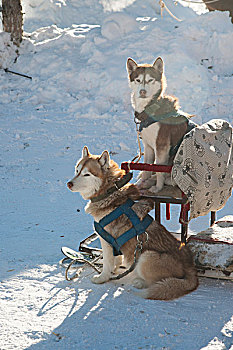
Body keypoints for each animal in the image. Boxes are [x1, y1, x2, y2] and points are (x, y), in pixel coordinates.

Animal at [67, 146, 198, 300]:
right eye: (77, 170)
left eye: (87, 174)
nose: (69, 183)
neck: (108, 193)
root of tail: (190, 269)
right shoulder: (114, 243)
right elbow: (116, 260)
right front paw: (115, 270)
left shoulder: (106, 240)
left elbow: (107, 263)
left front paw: (102, 278)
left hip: (146, 256)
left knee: (155, 281)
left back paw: (139, 282)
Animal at [127, 58, 191, 194]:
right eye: (138, 80)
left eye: (150, 80)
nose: (142, 91)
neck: (150, 110)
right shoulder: (148, 146)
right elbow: (147, 168)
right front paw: (142, 182)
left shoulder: (162, 147)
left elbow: (159, 170)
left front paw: (157, 188)